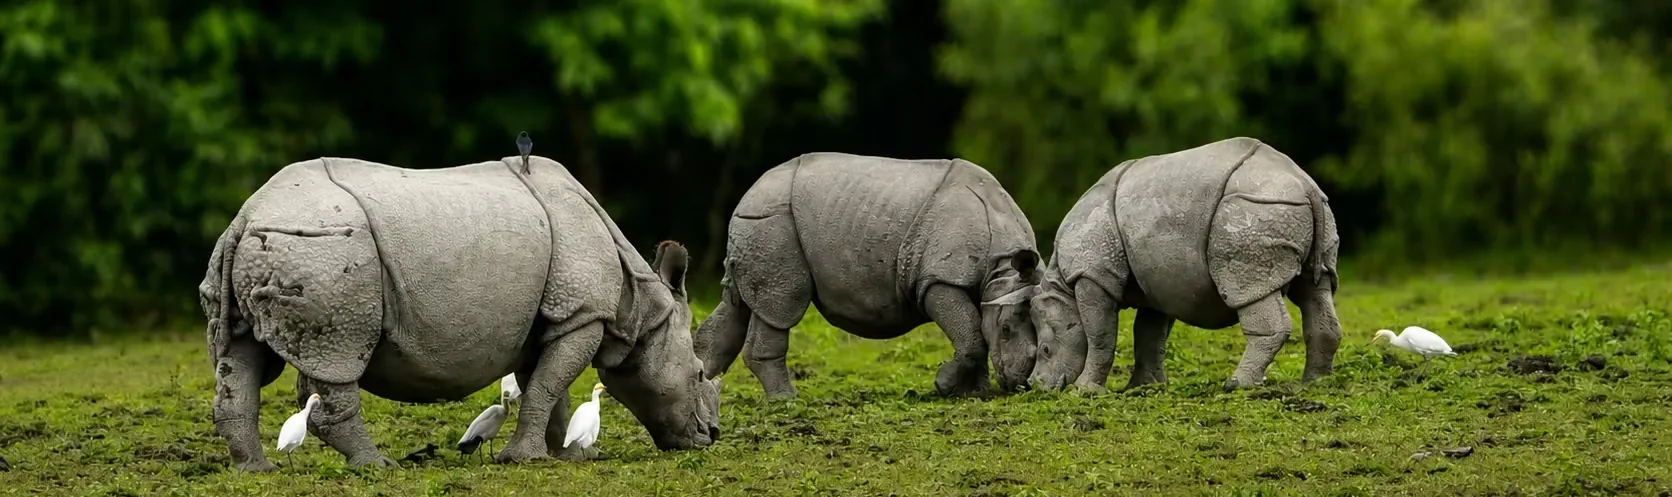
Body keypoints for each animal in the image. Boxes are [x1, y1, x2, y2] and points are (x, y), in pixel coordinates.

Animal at [198, 156, 720, 471]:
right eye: (697, 374)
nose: (710, 435)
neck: (643, 311)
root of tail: (244, 217)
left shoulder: (553, 316)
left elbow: (546, 388)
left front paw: (557, 456)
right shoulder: (583, 312)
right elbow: (549, 385)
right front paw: (526, 460)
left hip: (271, 250)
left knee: (241, 357)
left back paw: (255, 469)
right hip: (324, 252)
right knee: (341, 354)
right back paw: (377, 467)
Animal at [693, 152, 1043, 398]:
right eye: (1007, 329)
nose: (1019, 384)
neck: (1001, 268)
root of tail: (750, 191)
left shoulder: (973, 283)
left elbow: (975, 331)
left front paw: (975, 393)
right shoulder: (939, 280)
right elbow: (971, 335)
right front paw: (944, 385)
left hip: (761, 221)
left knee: (739, 305)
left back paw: (701, 391)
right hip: (773, 221)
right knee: (782, 306)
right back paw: (787, 399)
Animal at [1027, 137, 1343, 392]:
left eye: (1045, 350)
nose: (1036, 386)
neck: (1062, 288)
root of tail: (1305, 184)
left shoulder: (1093, 274)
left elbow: (1100, 334)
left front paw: (1085, 390)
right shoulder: (1154, 279)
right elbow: (1149, 335)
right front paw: (1143, 388)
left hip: (1254, 209)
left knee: (1248, 290)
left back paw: (1236, 385)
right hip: (1298, 209)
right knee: (1316, 290)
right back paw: (1314, 384)